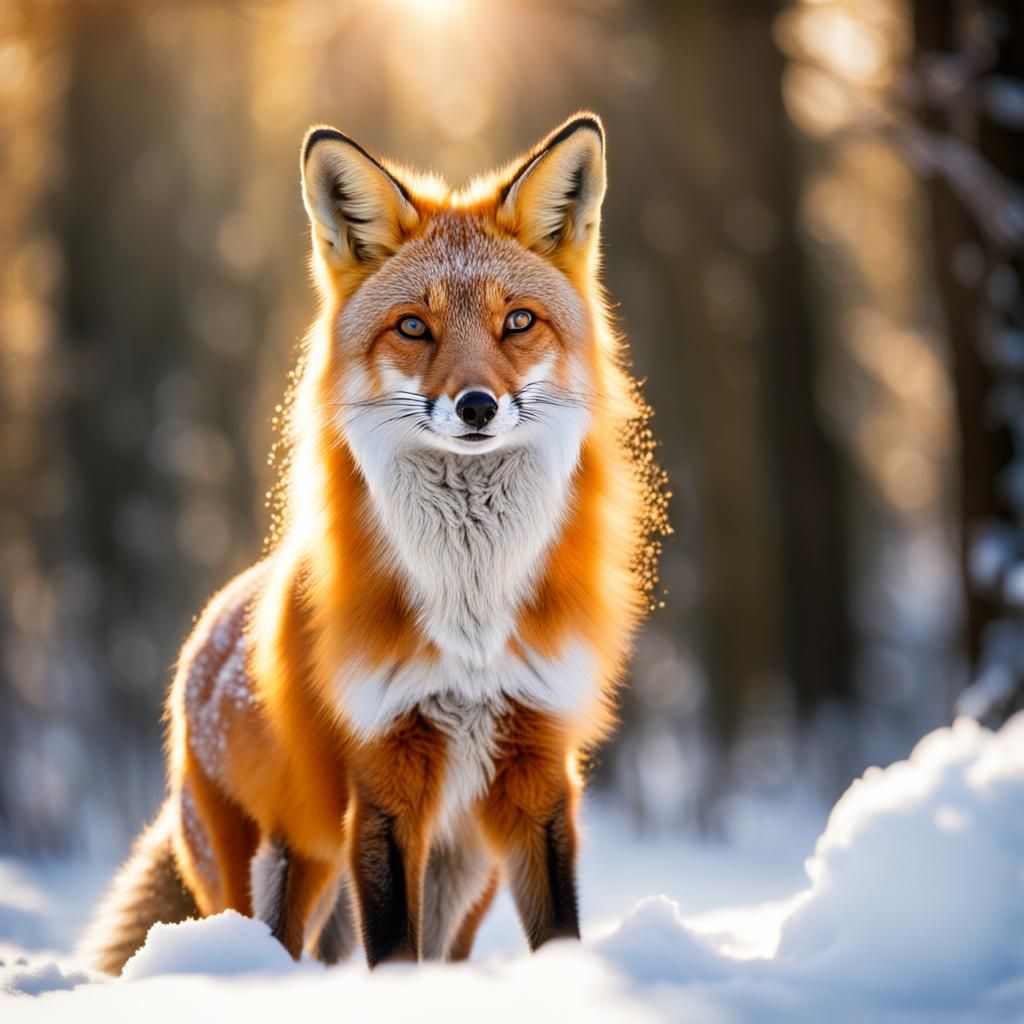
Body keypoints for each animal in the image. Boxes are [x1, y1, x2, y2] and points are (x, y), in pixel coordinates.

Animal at [83, 111, 664, 973]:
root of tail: (203, 640)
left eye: (517, 321)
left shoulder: (536, 771)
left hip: (464, 869)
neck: (471, 615)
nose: (477, 405)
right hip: (280, 873)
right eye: (414, 327)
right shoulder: (384, 784)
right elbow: (393, 955)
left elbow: (556, 933)